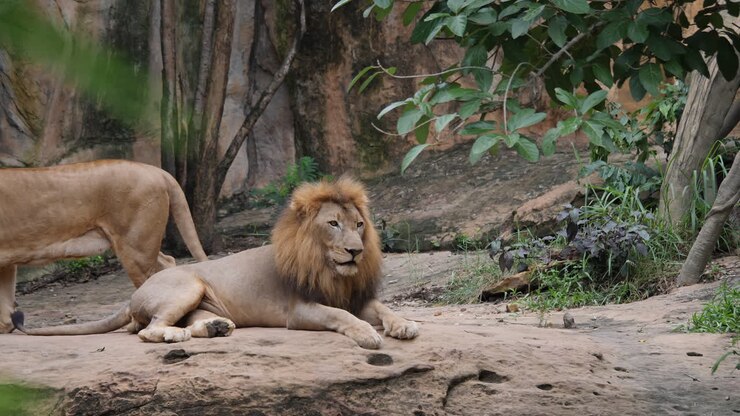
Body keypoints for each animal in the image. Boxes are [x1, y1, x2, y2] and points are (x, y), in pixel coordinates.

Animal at [1, 160, 208, 333]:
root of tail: (157, 171)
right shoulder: (6, 262)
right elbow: (6, 296)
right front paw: (6, 326)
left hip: (135, 249)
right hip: (138, 244)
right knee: (168, 262)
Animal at [12, 177, 419, 349]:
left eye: (359, 225)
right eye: (333, 224)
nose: (355, 251)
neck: (330, 269)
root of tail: (131, 298)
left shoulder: (355, 295)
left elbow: (383, 308)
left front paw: (404, 325)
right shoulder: (300, 309)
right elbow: (342, 316)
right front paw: (367, 334)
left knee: (178, 324)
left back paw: (215, 328)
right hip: (186, 285)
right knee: (147, 330)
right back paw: (176, 335)